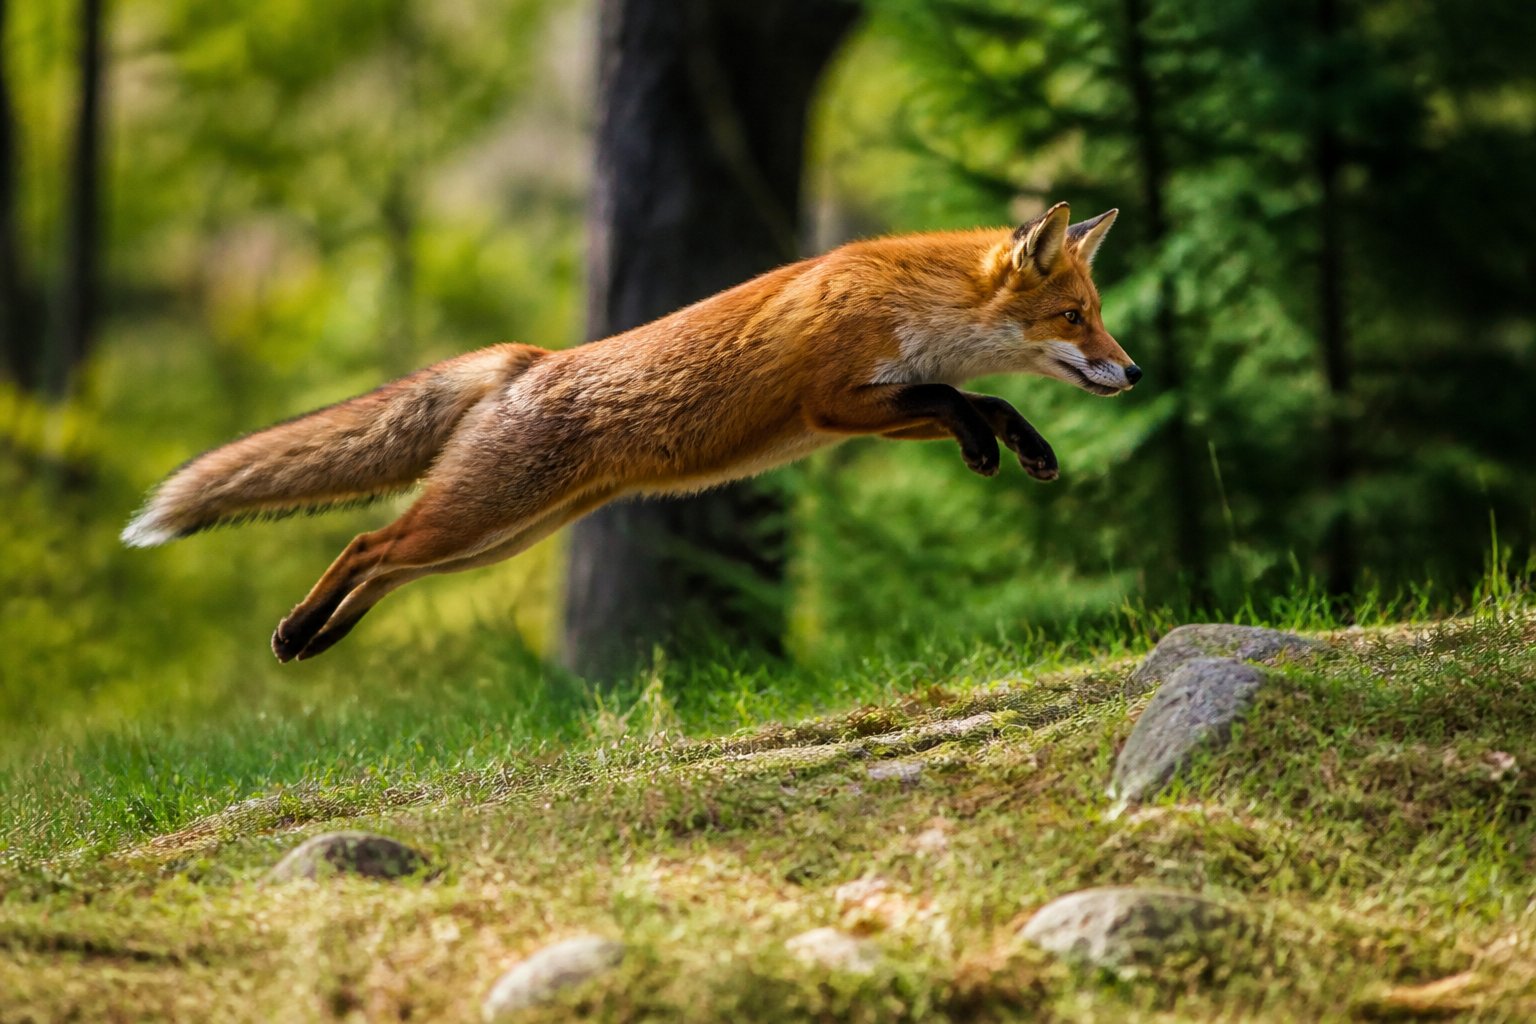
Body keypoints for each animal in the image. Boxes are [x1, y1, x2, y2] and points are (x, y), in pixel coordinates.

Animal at [123, 201, 1138, 662]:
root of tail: (526, 359)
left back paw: (317, 641)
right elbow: (957, 399)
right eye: (1076, 318)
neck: (908, 303)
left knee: (386, 564)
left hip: (496, 537)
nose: (1132, 373)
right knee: (369, 543)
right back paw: (296, 632)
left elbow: (985, 401)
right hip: (481, 518)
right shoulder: (833, 404)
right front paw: (989, 446)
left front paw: (1025, 448)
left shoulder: (866, 412)